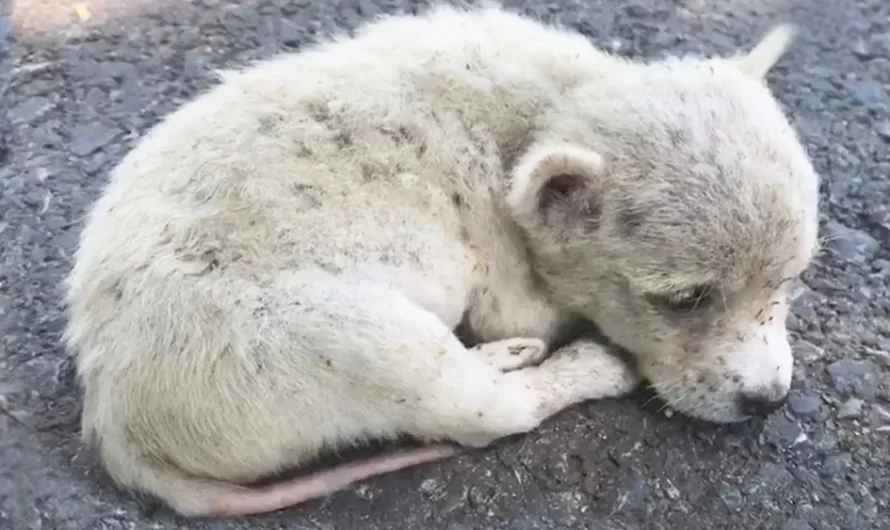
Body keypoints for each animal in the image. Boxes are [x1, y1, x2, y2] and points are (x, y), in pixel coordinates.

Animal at [64, 2, 820, 516]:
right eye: (683, 300)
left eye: (791, 281)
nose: (768, 402)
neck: (553, 101)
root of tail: (114, 420)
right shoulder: (504, 272)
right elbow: (531, 316)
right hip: (342, 338)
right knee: (488, 411)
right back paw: (559, 365)